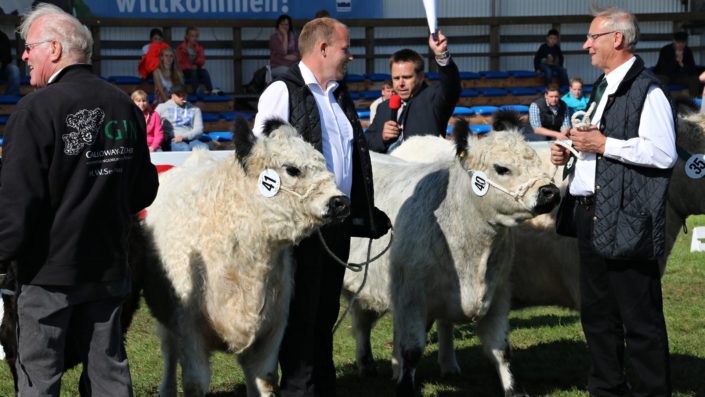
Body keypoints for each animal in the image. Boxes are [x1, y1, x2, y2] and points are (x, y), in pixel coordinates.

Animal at [142, 118, 350, 396]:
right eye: (292, 169)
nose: (341, 202)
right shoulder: (188, 328)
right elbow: (195, 382)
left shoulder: (273, 327)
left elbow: (264, 379)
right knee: (169, 354)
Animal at [342, 112, 560, 396]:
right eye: (501, 168)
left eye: (534, 158)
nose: (550, 192)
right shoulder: (411, 297)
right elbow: (411, 350)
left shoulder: (498, 294)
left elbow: (501, 350)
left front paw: (512, 389)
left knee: (363, 319)